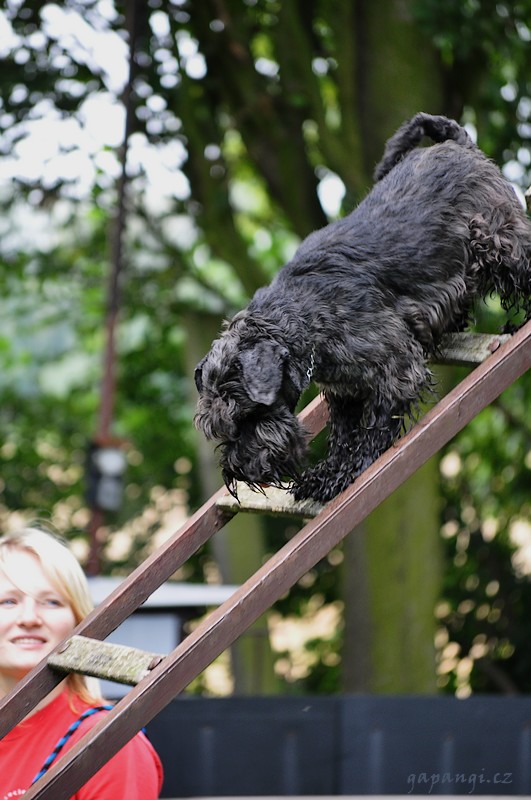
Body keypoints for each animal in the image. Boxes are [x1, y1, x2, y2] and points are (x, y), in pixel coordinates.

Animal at [194, 112, 531, 503]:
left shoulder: (396, 371)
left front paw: (347, 474)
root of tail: (459, 142)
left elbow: (372, 429)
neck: (301, 317)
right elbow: (342, 436)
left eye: (244, 416)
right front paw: (324, 476)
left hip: (497, 240)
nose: (240, 470)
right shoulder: (346, 391)